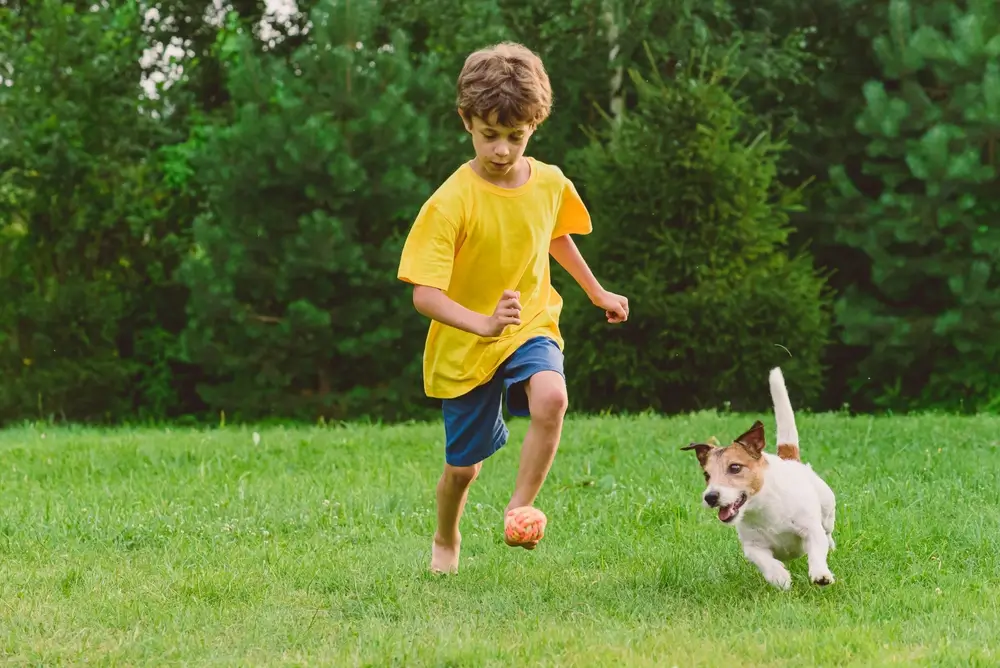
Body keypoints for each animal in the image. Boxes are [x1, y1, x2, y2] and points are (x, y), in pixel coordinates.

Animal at [680, 366, 836, 588]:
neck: (764, 507)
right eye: (706, 475)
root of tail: (790, 459)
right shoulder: (752, 546)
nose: (710, 497)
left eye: (735, 467)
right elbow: (762, 559)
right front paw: (779, 576)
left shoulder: (811, 530)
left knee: (828, 531)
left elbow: (816, 548)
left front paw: (820, 574)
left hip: (827, 506)